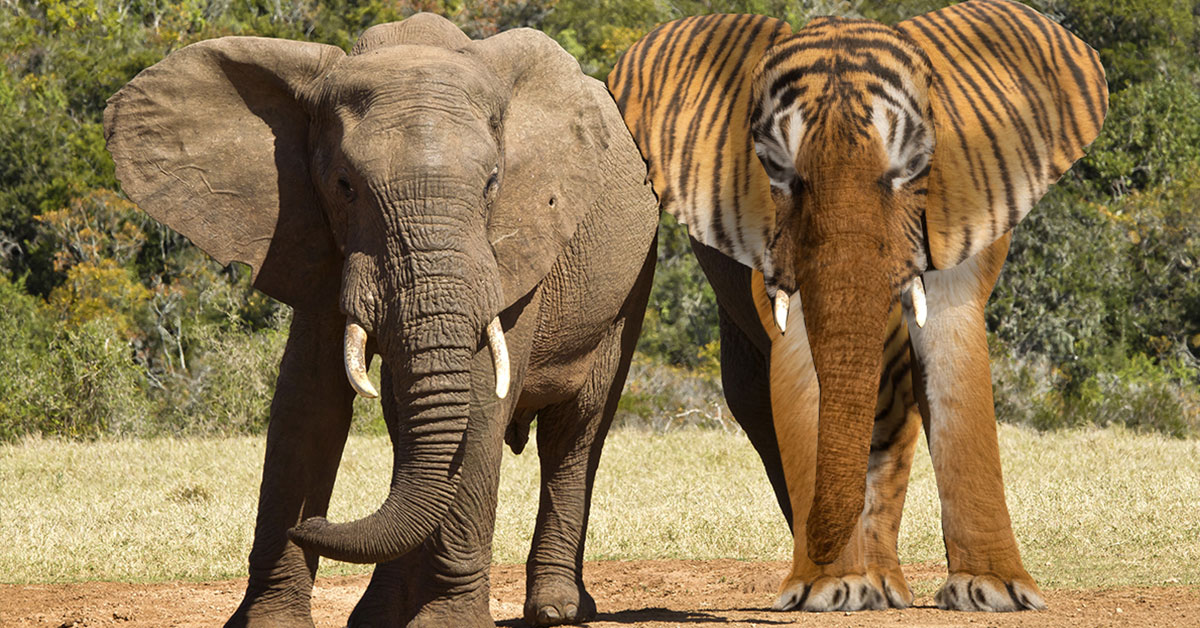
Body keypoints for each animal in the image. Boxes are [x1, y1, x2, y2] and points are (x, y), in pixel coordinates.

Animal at [105, 14, 657, 628]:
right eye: (345, 185)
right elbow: (306, 401)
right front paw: (271, 621)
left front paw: (449, 624)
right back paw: (379, 615)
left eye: (493, 182)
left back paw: (557, 609)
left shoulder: (517, 241)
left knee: (574, 430)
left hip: (631, 283)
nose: (311, 525)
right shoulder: (309, 230)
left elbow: (481, 400)